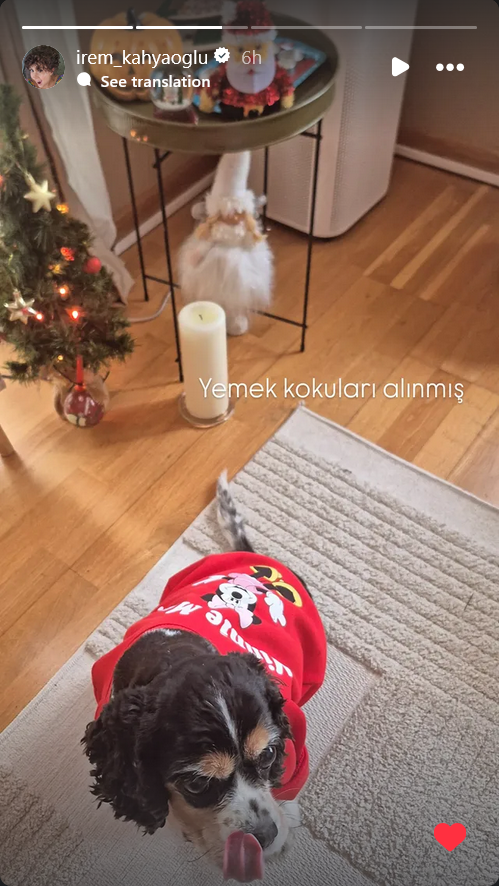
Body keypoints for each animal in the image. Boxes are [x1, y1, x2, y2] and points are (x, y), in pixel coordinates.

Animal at [82, 473, 326, 878]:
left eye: (268, 753)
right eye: (197, 784)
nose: (264, 837)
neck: (177, 653)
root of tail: (261, 559)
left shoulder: (294, 739)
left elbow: (288, 785)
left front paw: (287, 819)